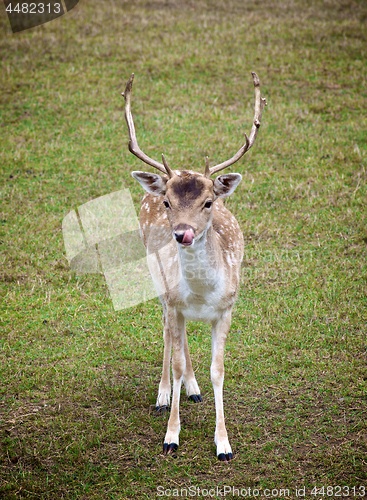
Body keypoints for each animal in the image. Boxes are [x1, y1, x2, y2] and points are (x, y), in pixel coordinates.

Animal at [122, 71, 266, 460]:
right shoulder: (174, 301)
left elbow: (218, 371)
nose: (182, 234)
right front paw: (171, 436)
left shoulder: (227, 308)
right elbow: (174, 361)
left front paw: (223, 444)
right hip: (159, 282)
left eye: (208, 202)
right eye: (168, 202)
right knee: (169, 334)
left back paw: (193, 388)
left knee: (182, 339)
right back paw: (164, 395)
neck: (202, 295)